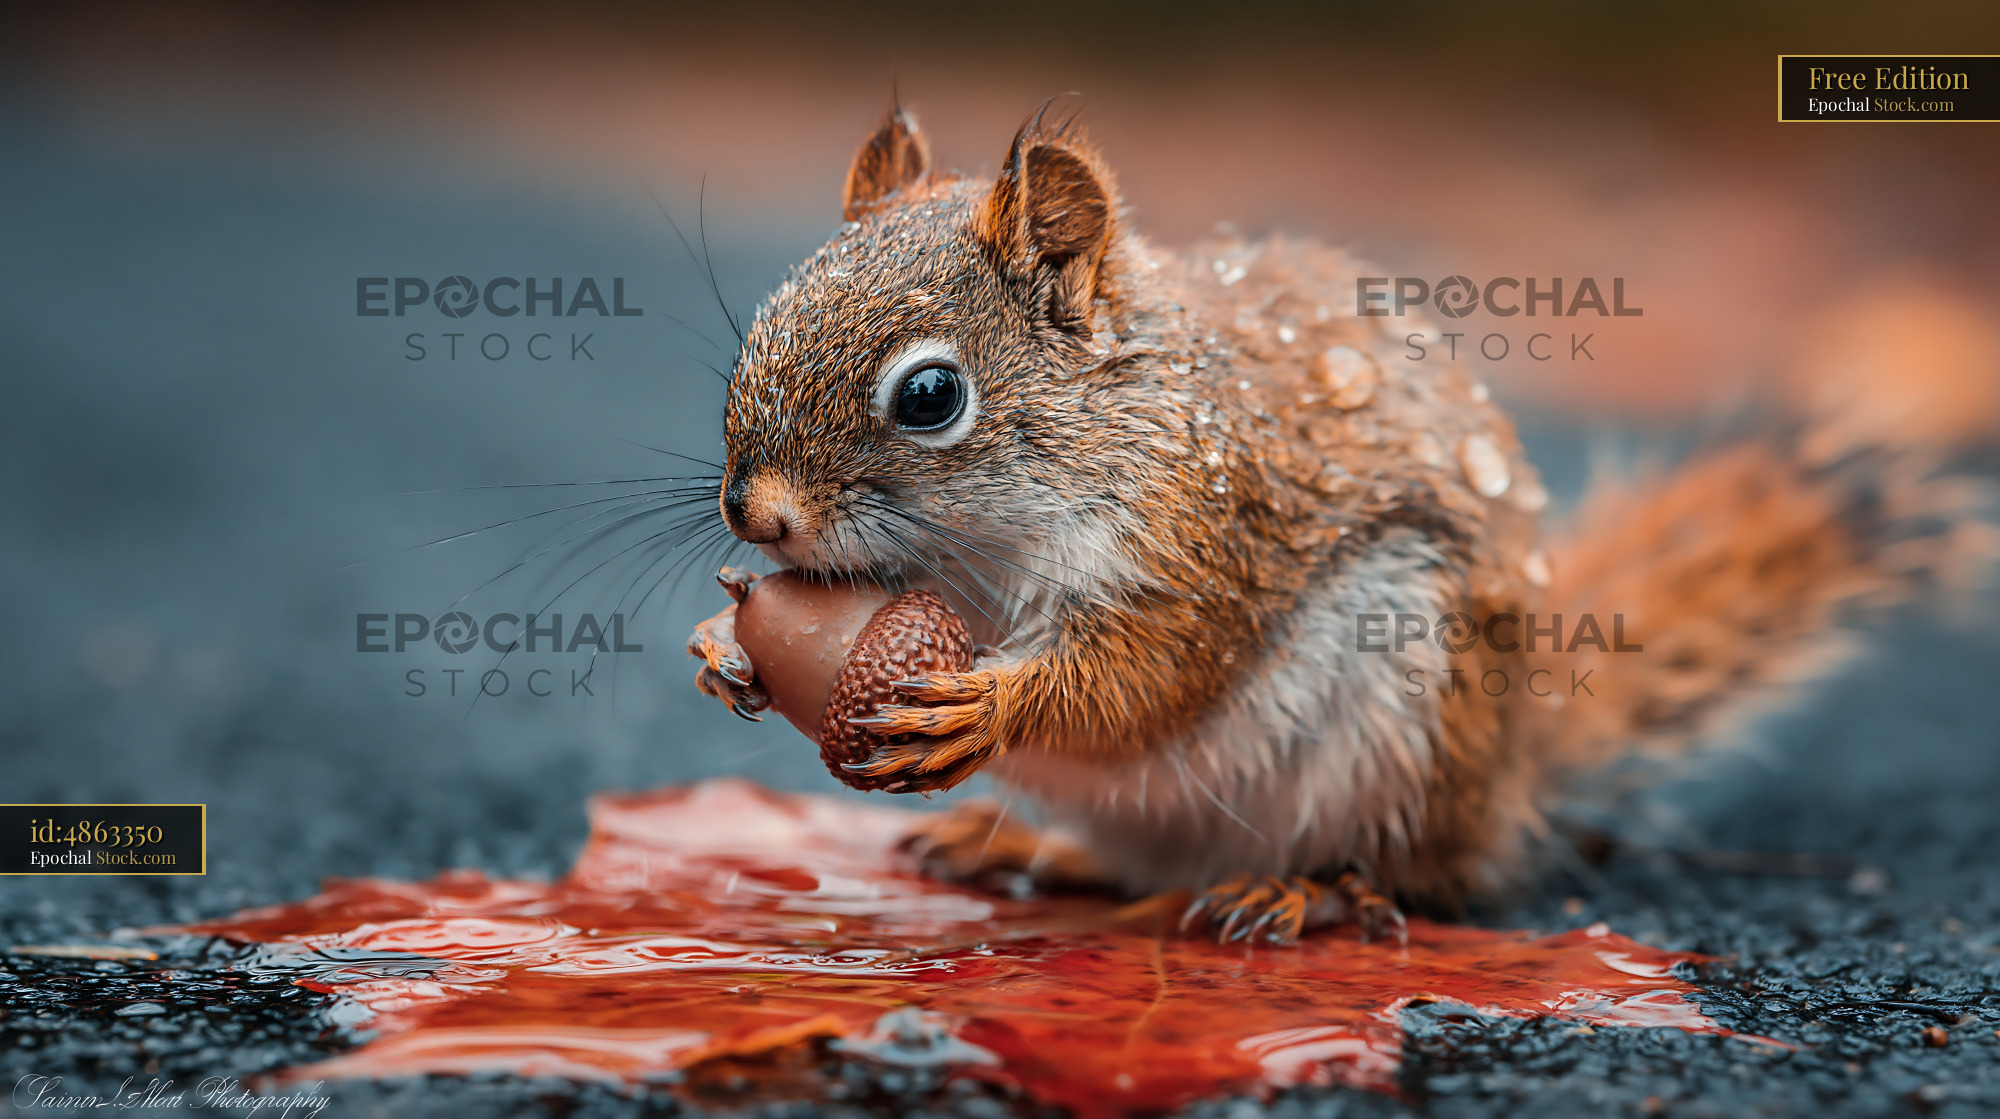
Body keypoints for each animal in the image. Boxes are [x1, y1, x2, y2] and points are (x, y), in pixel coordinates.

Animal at [687, 103, 1996, 944]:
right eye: (763, 326)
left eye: (928, 396)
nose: (756, 512)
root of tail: (1506, 790)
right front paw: (719, 652)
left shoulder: (1206, 533)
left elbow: (1146, 679)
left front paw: (993, 707)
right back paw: (1028, 849)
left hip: (1403, 712)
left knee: (1409, 882)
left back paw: (1302, 894)